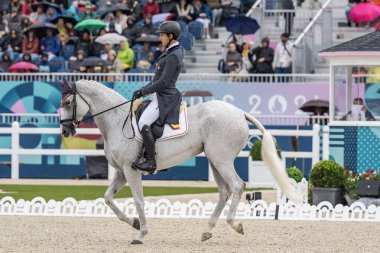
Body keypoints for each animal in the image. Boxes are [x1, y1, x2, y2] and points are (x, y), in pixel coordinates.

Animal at [60, 79, 302, 245]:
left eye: (68, 102)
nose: (64, 130)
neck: (119, 121)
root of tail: (240, 112)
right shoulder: (121, 172)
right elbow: (108, 198)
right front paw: (135, 223)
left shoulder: (131, 170)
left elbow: (138, 201)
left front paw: (141, 234)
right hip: (214, 160)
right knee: (224, 192)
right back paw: (207, 230)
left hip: (221, 159)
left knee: (237, 186)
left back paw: (234, 224)